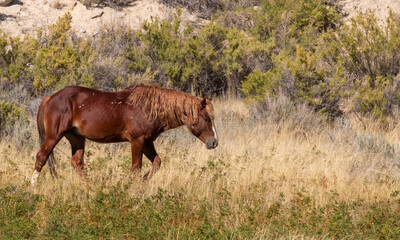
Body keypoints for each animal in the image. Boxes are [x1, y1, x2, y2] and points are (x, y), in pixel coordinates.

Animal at [31, 83, 219, 183]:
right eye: (206, 119)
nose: (214, 142)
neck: (149, 108)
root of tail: (50, 97)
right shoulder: (137, 141)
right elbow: (136, 167)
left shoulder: (147, 142)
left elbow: (156, 163)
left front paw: (143, 182)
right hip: (54, 136)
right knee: (41, 157)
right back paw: (33, 186)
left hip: (77, 139)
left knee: (77, 162)